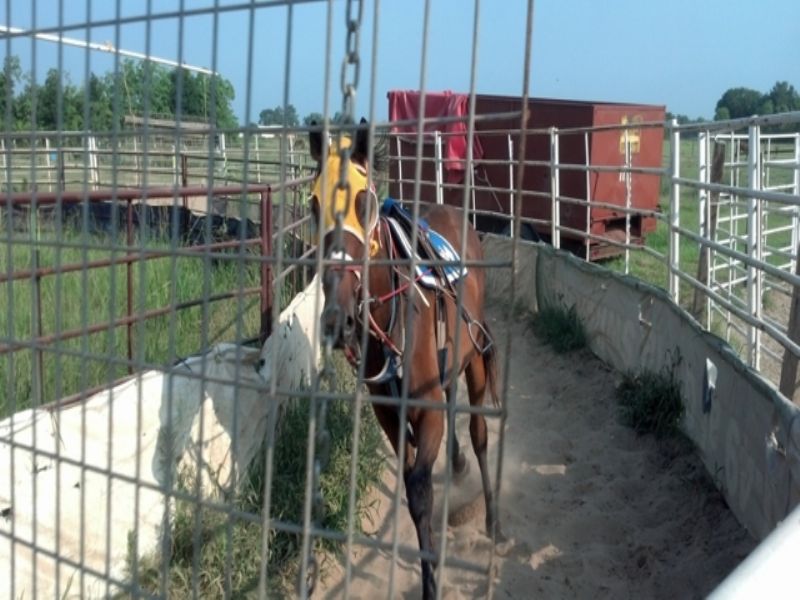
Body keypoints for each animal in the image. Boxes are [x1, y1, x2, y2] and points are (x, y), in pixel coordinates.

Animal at [308, 119, 500, 599]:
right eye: (314, 204)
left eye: (364, 203)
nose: (337, 317)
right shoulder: (389, 414)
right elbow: (414, 477)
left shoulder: (425, 411)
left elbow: (418, 489)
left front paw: (432, 580)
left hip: (474, 358)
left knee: (479, 433)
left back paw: (491, 515)